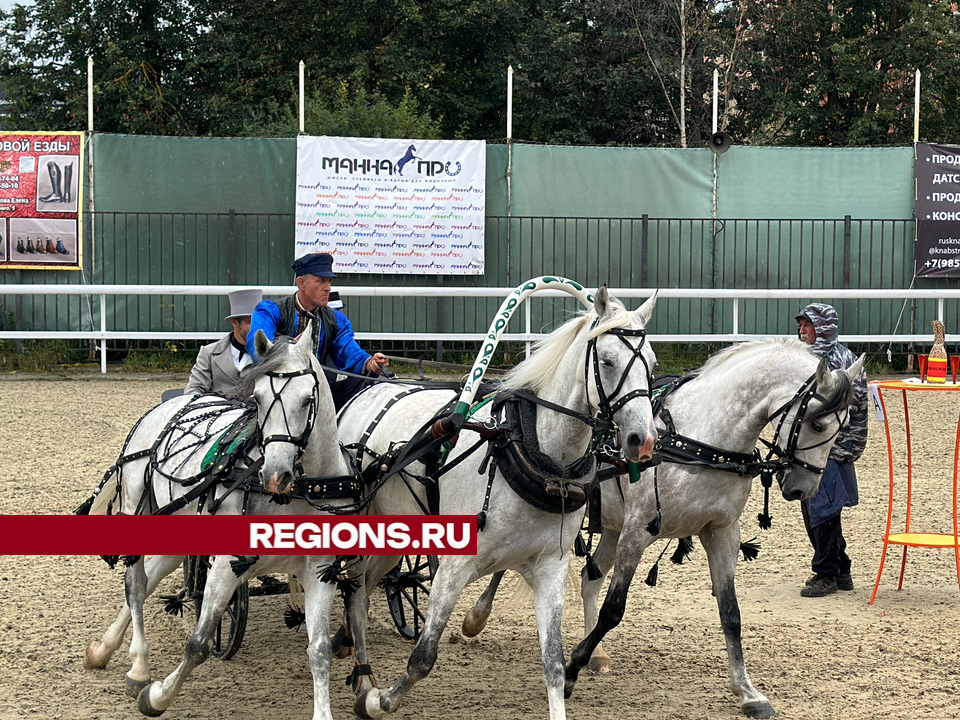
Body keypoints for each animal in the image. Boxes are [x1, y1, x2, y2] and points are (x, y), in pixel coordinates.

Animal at [80, 328, 372, 720]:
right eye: (258, 398)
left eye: (308, 399)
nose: (275, 476)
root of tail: (172, 403)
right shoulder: (226, 565)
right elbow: (199, 643)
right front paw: (157, 697)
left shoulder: (318, 570)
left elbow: (320, 650)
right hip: (138, 510)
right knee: (136, 584)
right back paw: (139, 668)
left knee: (151, 576)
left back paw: (104, 649)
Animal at [338, 286, 660, 720]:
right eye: (607, 362)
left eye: (652, 365)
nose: (643, 440)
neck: (531, 450)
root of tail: (367, 391)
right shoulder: (453, 568)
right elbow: (423, 657)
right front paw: (381, 699)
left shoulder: (550, 566)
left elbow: (553, 663)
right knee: (354, 590)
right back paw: (363, 676)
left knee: (363, 588)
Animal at [564, 338, 872, 720]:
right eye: (817, 424)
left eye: (842, 429)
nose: (805, 489)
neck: (699, 441)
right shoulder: (636, 534)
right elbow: (613, 610)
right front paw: (570, 668)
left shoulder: (722, 532)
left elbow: (731, 613)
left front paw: (747, 692)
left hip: (609, 528)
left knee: (589, 580)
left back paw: (597, 655)